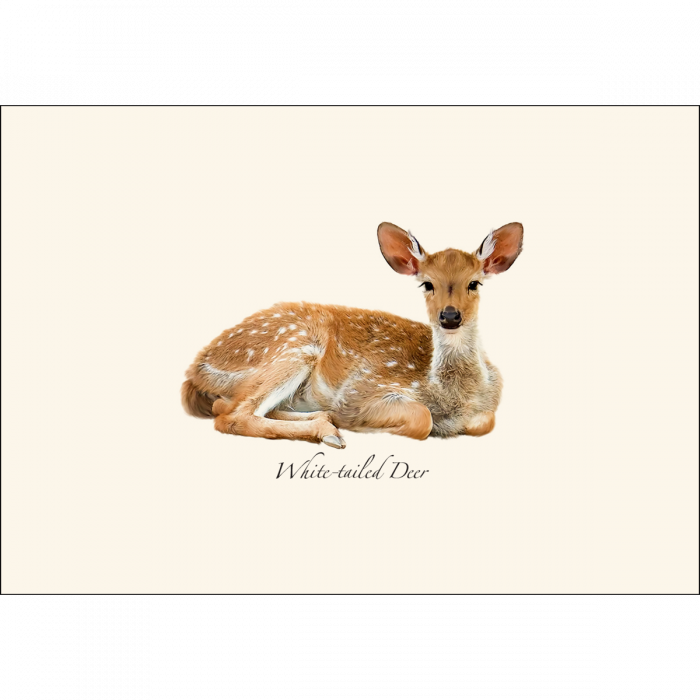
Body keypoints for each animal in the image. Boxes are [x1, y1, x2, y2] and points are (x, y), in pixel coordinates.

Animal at [181, 222, 523, 448]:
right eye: (426, 283)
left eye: (474, 283)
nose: (450, 316)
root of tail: (195, 370)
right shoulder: (362, 388)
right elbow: (421, 420)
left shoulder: (487, 410)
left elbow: (484, 422)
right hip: (292, 348)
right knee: (231, 415)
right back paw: (329, 432)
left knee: (227, 407)